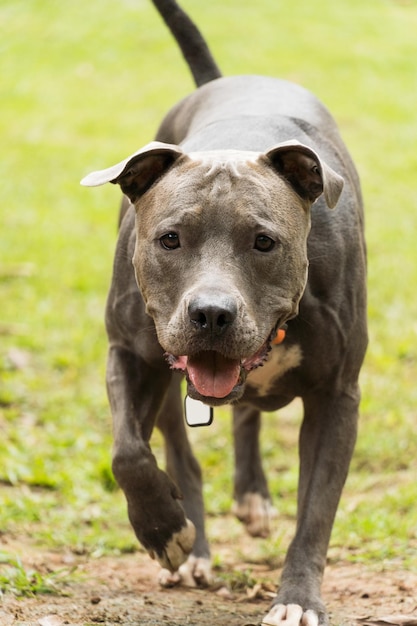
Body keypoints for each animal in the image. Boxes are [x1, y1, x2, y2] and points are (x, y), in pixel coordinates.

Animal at [80, 1, 364, 624]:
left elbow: (317, 510)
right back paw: (193, 546)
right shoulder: (129, 353)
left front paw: (297, 598)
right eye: (169, 239)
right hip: (165, 375)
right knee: (178, 450)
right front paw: (165, 531)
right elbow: (128, 454)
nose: (212, 314)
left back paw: (252, 496)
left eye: (264, 242)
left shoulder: (337, 396)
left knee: (245, 414)